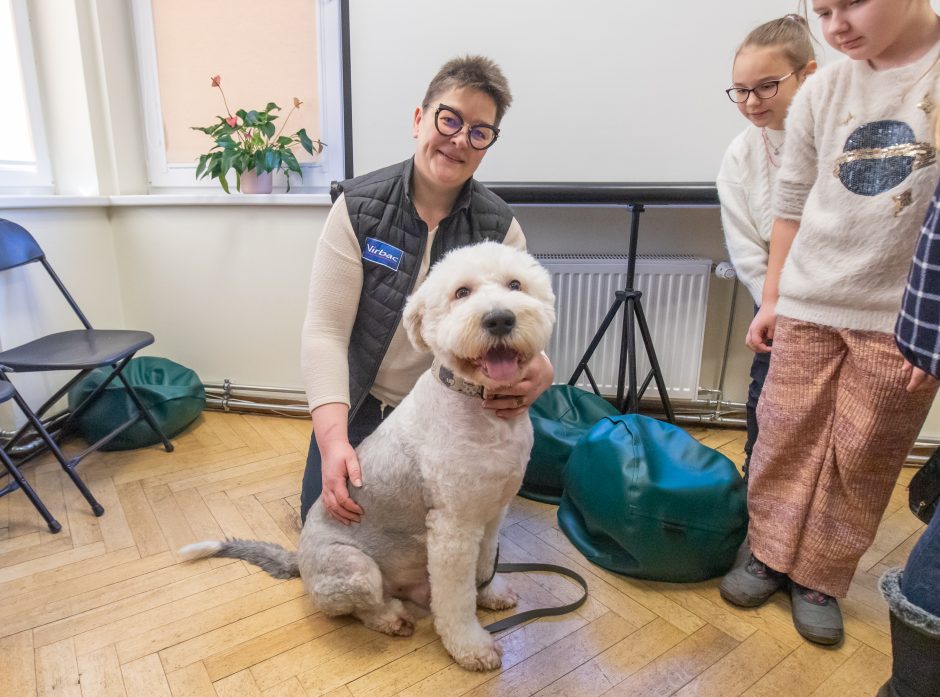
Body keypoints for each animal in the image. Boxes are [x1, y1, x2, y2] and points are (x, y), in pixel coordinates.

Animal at [180, 242, 556, 672]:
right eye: (462, 292)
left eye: (516, 284)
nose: (499, 319)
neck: (480, 406)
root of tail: (299, 561)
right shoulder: (453, 529)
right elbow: (457, 599)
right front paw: (470, 646)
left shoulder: (492, 513)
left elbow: (486, 562)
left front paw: (490, 592)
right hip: (355, 570)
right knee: (364, 607)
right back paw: (393, 618)